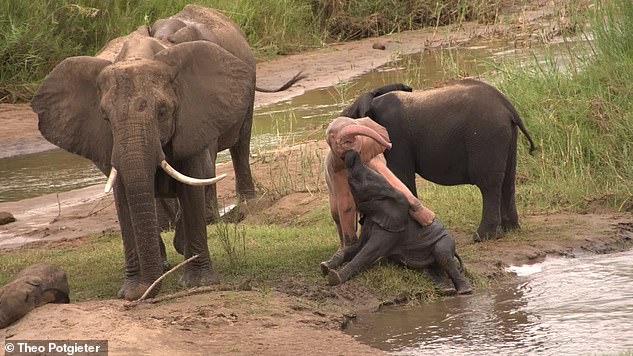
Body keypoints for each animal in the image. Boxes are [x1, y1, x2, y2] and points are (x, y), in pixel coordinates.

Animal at [30, 5, 302, 300]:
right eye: (104, 118)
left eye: (162, 112)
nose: (143, 293)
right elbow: (124, 197)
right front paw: (132, 289)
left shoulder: (197, 112)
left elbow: (193, 180)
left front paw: (196, 281)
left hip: (245, 93)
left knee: (240, 144)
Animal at [318, 150, 472, 294]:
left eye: (368, 177)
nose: (353, 153)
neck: (391, 193)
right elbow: (357, 247)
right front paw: (325, 266)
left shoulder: (391, 232)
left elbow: (367, 252)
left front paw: (334, 278)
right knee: (429, 268)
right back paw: (447, 290)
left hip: (446, 241)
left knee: (443, 256)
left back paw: (464, 291)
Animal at [344, 80, 536, 242]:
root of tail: (507, 107)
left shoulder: (394, 135)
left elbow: (401, 177)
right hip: (506, 135)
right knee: (508, 180)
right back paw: (511, 229)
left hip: (486, 135)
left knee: (488, 184)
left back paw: (482, 237)